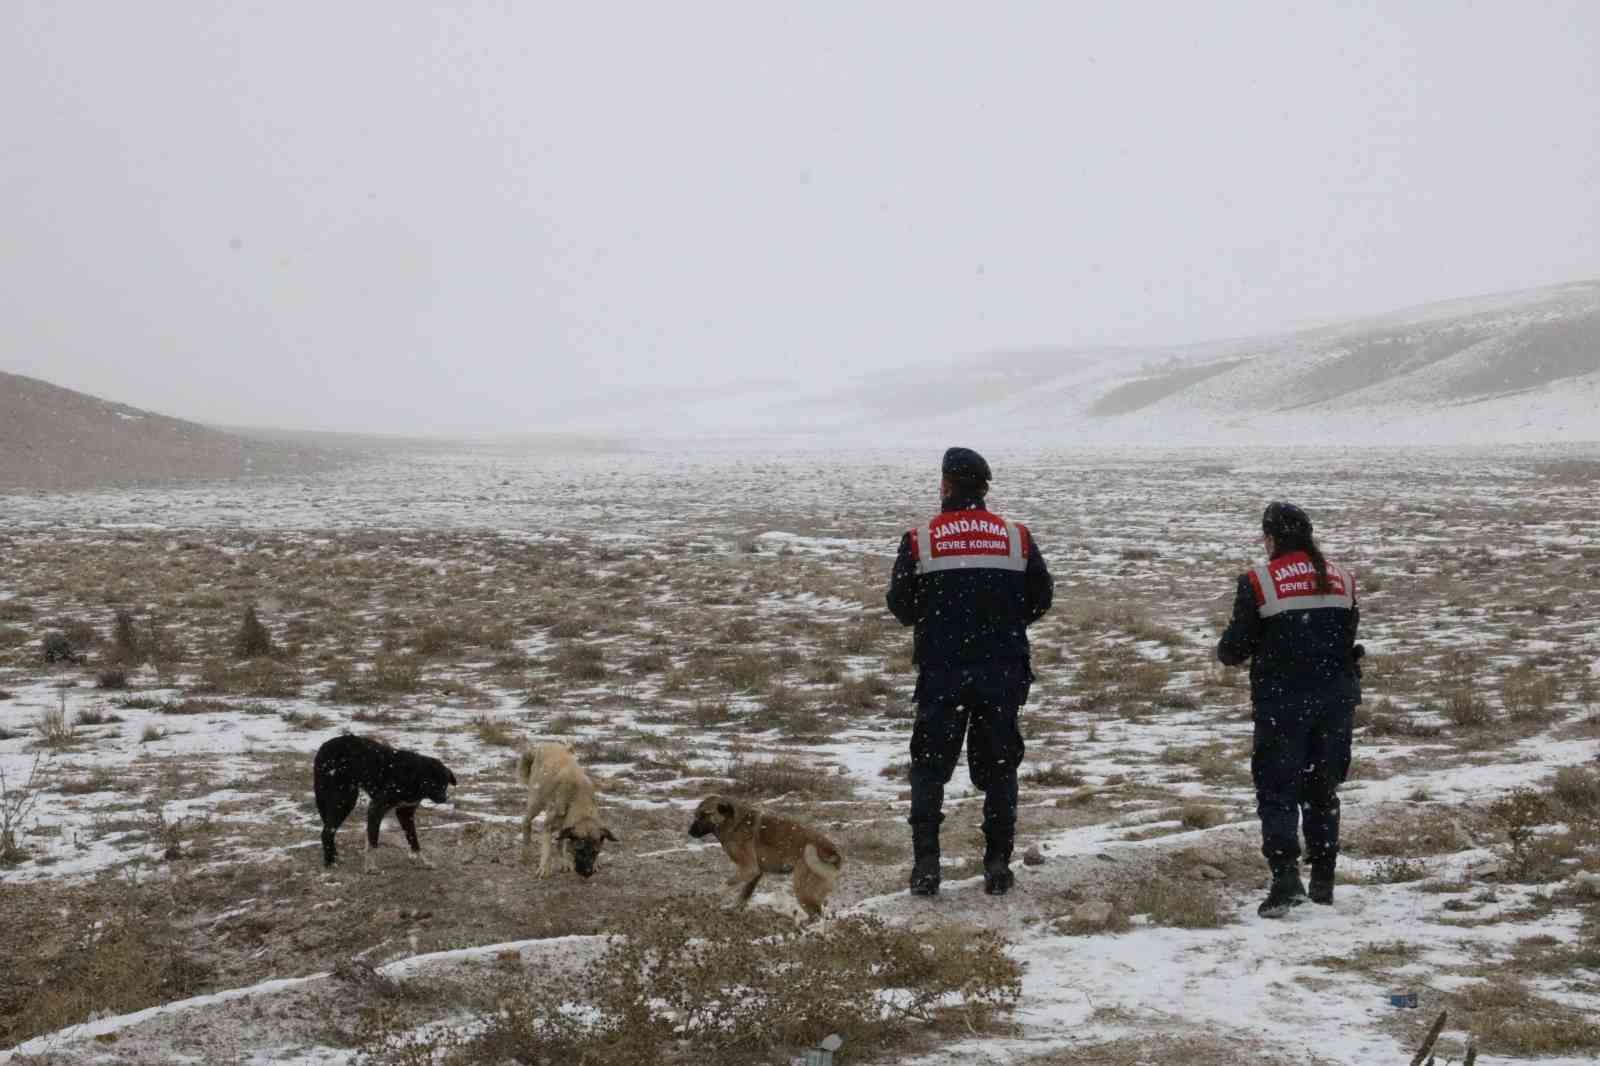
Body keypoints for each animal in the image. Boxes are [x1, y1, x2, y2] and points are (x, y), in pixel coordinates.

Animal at [310, 729, 457, 870]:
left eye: (445, 784)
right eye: (432, 783)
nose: (444, 799)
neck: (412, 777)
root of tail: (323, 747)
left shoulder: (405, 812)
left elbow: (413, 840)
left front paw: (424, 861)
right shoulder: (376, 808)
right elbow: (373, 841)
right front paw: (370, 867)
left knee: (329, 829)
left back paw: (334, 856)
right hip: (345, 799)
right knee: (327, 832)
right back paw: (330, 863)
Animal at [515, 742, 614, 877]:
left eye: (595, 852)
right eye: (579, 850)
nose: (587, 873)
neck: (578, 799)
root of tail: (543, 745)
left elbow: (560, 844)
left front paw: (595, 863)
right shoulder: (548, 826)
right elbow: (547, 851)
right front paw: (544, 868)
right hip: (536, 803)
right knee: (526, 822)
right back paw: (526, 853)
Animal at [684, 793, 844, 915]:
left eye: (705, 815)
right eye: (696, 815)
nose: (690, 832)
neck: (734, 824)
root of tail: (833, 852)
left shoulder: (748, 869)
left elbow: (724, 886)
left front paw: (709, 900)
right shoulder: (756, 873)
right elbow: (743, 896)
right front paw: (733, 910)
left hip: (802, 889)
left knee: (816, 915)